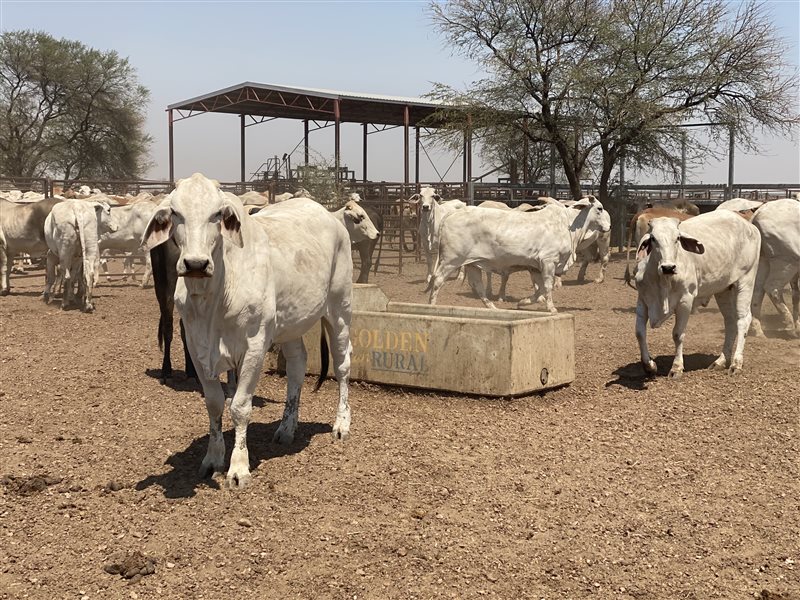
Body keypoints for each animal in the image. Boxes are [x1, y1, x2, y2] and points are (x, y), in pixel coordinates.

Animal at [141, 172, 354, 488]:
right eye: (176, 213)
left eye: (217, 214)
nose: (196, 263)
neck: (213, 299)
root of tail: (330, 217)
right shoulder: (195, 344)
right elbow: (215, 404)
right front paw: (213, 459)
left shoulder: (255, 345)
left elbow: (240, 407)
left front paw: (239, 467)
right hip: (290, 324)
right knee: (297, 366)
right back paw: (287, 428)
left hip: (339, 309)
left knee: (342, 364)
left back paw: (341, 424)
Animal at [636, 211, 760, 378]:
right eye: (654, 238)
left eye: (677, 238)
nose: (668, 267)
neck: (661, 281)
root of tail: (750, 226)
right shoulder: (643, 299)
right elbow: (640, 333)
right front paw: (649, 366)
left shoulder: (685, 300)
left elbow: (678, 334)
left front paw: (676, 368)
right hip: (723, 290)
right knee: (730, 322)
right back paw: (720, 361)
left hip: (746, 281)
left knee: (743, 320)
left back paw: (736, 363)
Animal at [752, 198, 800, 336]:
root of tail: (759, 213)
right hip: (785, 263)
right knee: (772, 288)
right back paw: (790, 327)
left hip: (763, 262)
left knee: (758, 290)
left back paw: (758, 331)